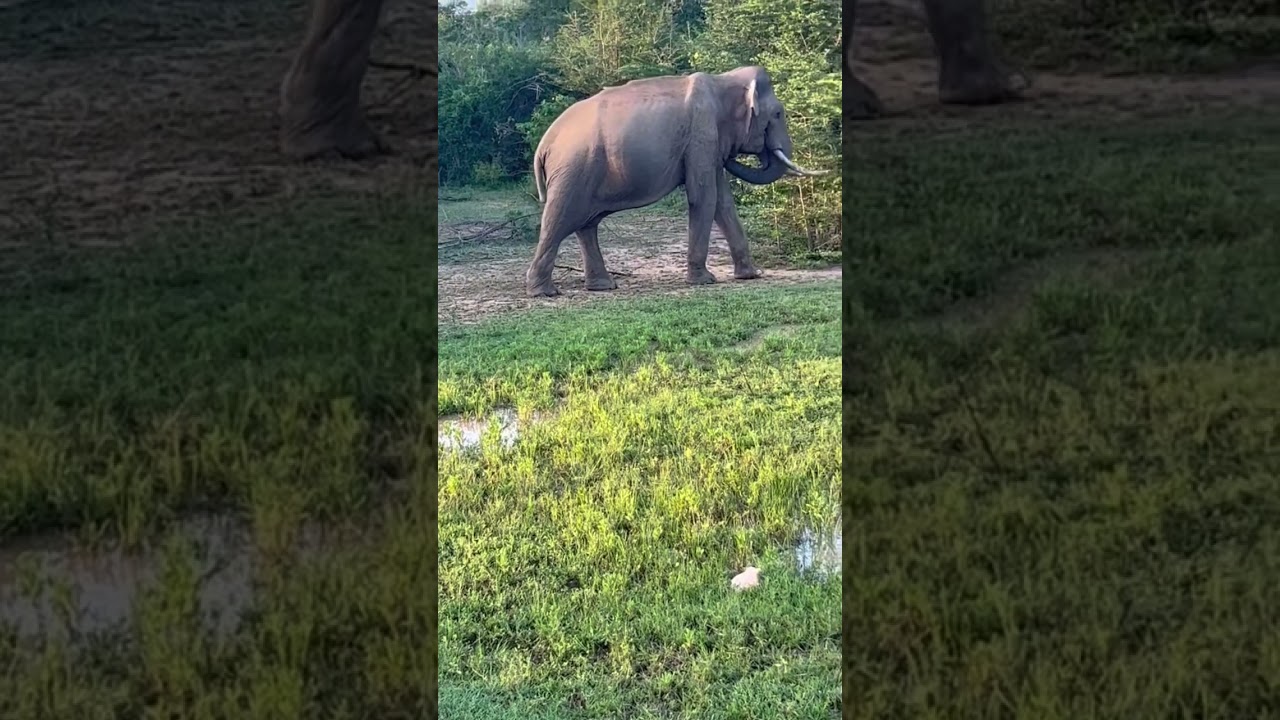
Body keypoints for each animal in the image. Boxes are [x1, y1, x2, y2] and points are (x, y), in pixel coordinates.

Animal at [525, 65, 828, 298]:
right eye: (778, 114)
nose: (731, 155)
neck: (723, 80)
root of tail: (544, 143)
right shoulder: (702, 135)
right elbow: (703, 197)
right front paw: (705, 281)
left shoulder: (709, 146)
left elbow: (723, 202)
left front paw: (751, 275)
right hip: (573, 170)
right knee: (560, 219)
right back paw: (545, 292)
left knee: (586, 224)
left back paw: (603, 286)